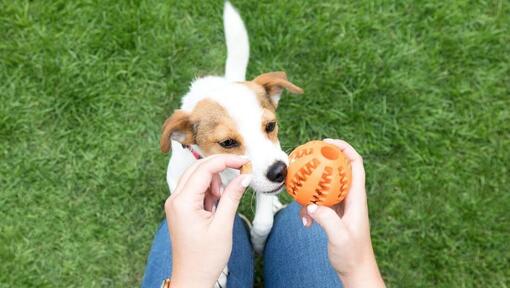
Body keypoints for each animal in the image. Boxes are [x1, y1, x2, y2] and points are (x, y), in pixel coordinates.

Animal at [160, 1, 302, 286]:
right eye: (227, 142)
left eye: (270, 126)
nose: (280, 172)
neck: (226, 174)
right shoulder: (179, 181)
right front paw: (216, 271)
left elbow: (262, 223)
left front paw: (259, 242)